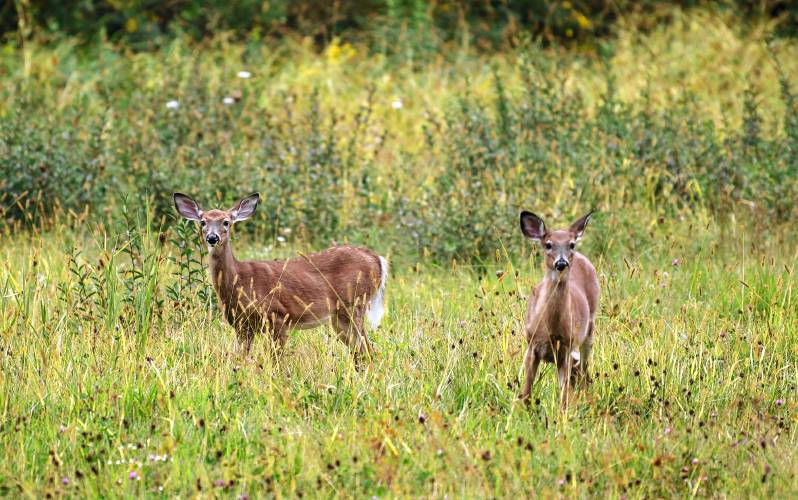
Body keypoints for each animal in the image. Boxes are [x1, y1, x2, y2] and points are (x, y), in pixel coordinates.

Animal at [173, 192, 390, 364]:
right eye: (202, 222)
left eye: (226, 222)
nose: (212, 238)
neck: (240, 280)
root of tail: (377, 259)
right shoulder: (242, 326)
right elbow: (241, 358)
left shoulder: (277, 315)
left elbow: (276, 362)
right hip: (340, 316)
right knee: (361, 352)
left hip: (353, 305)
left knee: (367, 351)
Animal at [520, 209, 600, 408]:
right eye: (548, 245)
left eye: (571, 244)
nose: (561, 263)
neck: (550, 328)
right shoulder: (531, 344)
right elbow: (526, 391)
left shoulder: (566, 348)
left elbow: (564, 395)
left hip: (589, 329)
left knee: (583, 369)